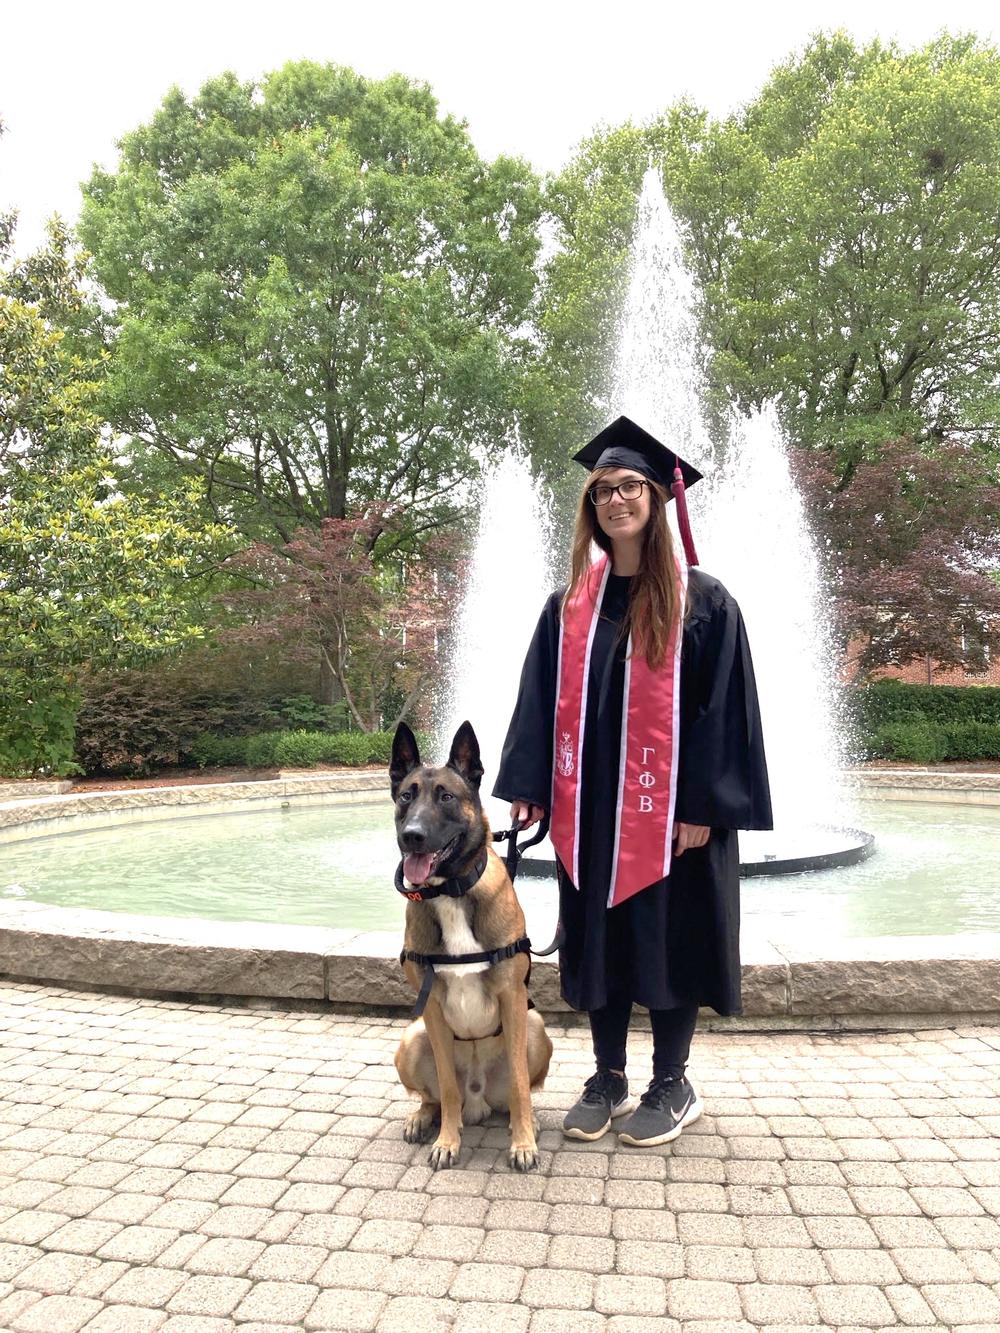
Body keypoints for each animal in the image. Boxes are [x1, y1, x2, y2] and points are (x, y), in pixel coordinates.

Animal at [389, 725, 552, 1173]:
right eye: (406, 796)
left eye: (446, 796)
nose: (412, 837)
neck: (450, 890)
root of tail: (479, 1100)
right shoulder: (431, 1008)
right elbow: (446, 1087)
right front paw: (447, 1141)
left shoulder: (513, 999)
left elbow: (520, 1085)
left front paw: (523, 1144)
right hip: (413, 1037)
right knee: (438, 1098)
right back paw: (424, 1118)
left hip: (535, 1028)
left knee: (516, 1095)